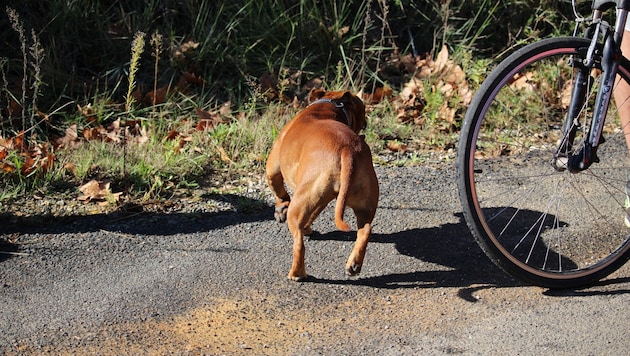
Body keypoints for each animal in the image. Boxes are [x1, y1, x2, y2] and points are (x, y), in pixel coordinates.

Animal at [266, 89, 380, 280]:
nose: (367, 121)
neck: (328, 106)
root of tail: (347, 149)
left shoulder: (272, 168)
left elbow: (278, 190)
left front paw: (280, 209)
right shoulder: (320, 201)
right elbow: (311, 216)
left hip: (299, 204)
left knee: (299, 243)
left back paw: (296, 274)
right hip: (363, 203)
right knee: (365, 230)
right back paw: (353, 265)